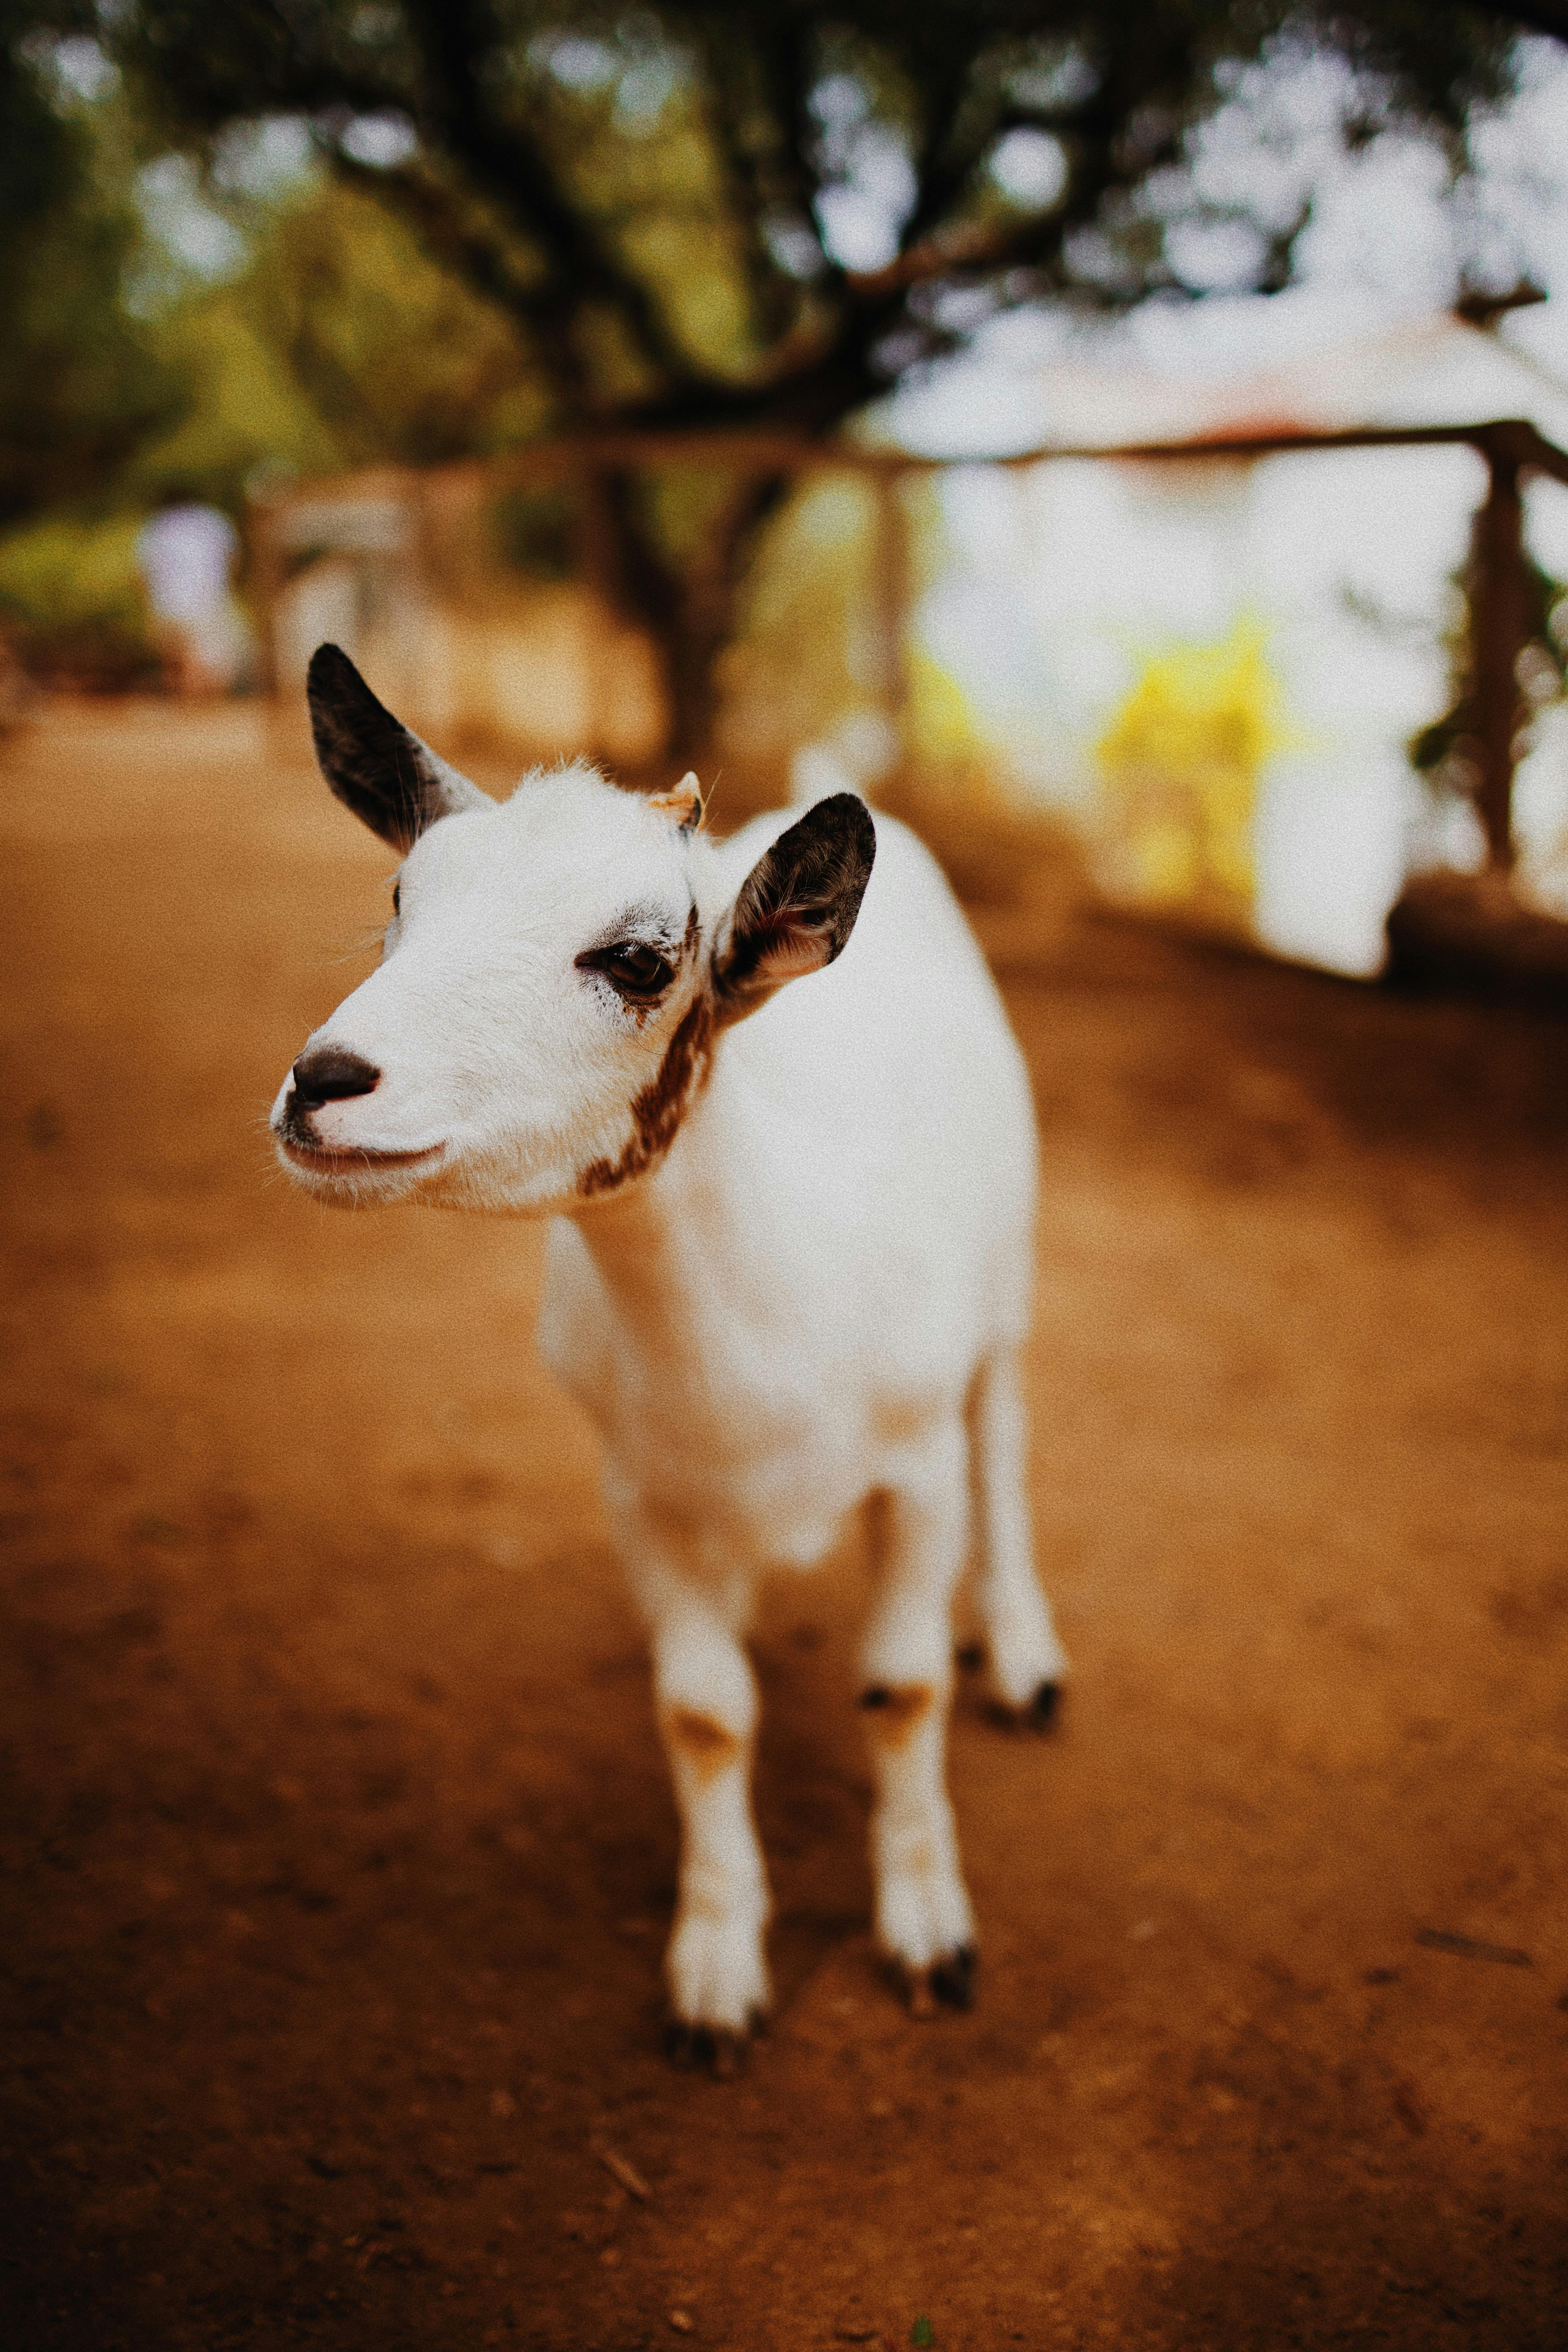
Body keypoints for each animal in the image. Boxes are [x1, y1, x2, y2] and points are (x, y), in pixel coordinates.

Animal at [276, 640, 1072, 2060]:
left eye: (641, 960)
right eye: (401, 898)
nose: (323, 1084)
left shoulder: (914, 1469)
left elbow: (904, 1686)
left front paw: (928, 1929)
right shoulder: (641, 1490)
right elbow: (703, 1715)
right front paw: (715, 1967)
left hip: (1008, 1286)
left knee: (1006, 1436)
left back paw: (1024, 1653)